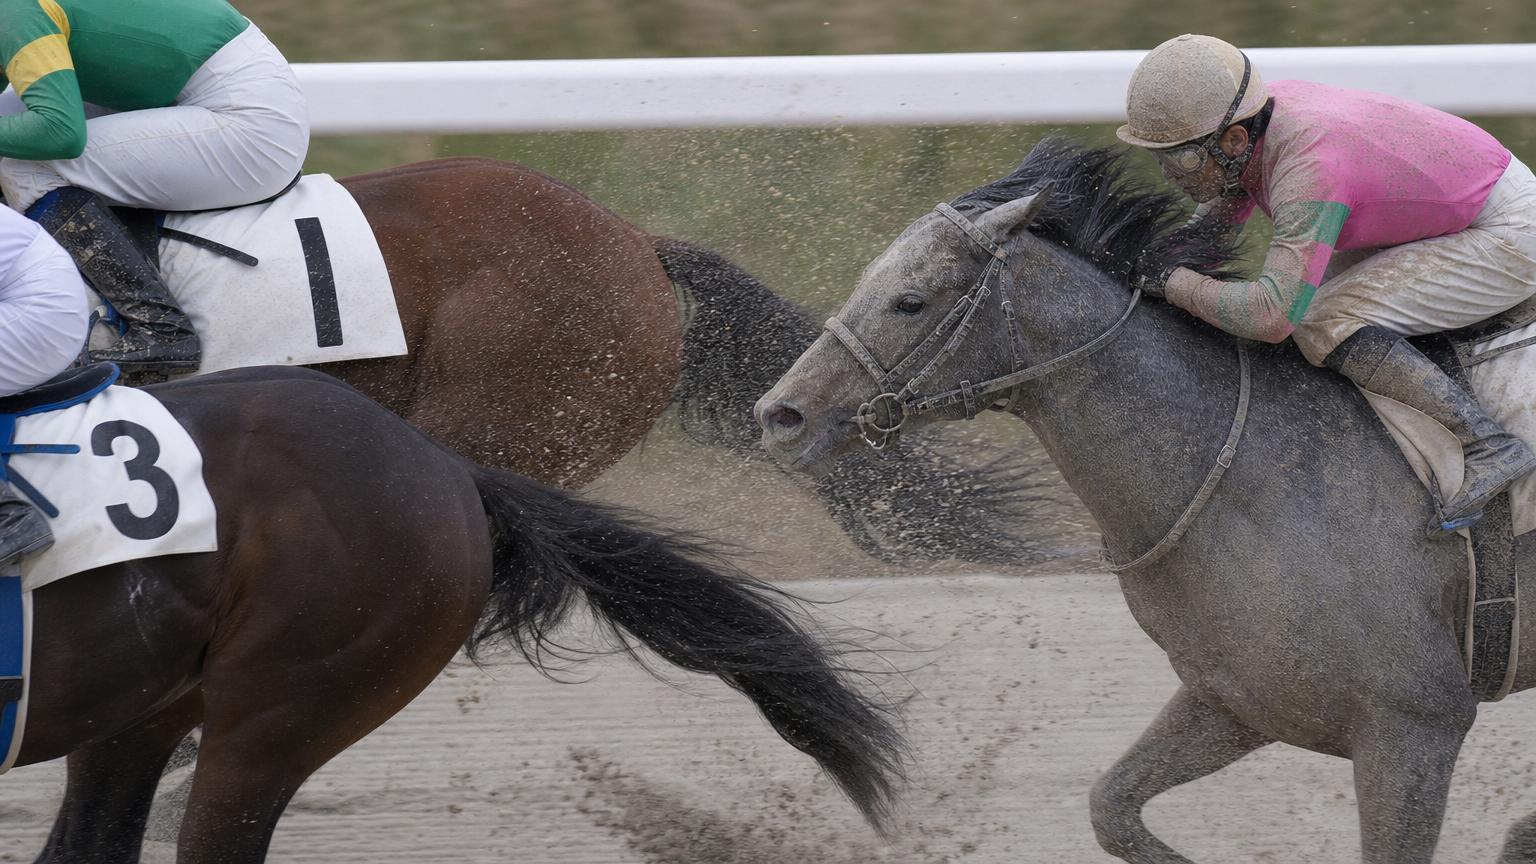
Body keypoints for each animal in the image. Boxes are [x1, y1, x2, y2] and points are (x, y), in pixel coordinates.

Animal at [753, 137, 1536, 863]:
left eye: (910, 300)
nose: (779, 415)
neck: (1242, 479)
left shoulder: (1414, 727)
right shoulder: (1237, 702)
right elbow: (1112, 808)